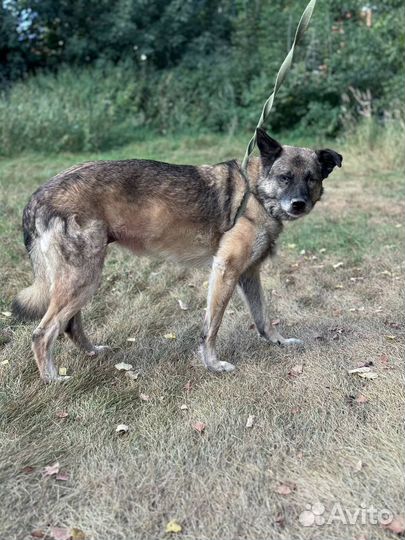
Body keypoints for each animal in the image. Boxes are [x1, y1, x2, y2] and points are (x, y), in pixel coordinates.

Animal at [12, 129, 340, 382]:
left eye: (311, 178)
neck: (255, 193)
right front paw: (212, 364)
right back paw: (52, 379)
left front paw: (278, 342)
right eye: (285, 177)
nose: (298, 204)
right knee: (43, 333)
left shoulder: (248, 274)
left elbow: (264, 318)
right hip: (83, 280)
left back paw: (93, 353)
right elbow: (211, 328)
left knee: (69, 325)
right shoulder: (225, 271)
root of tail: (37, 196)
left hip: (80, 281)